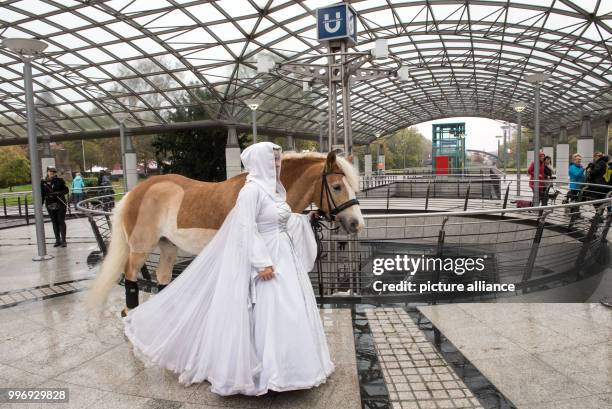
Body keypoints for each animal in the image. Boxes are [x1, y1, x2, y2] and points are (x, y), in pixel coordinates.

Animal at [86, 151, 364, 314]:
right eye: (337, 186)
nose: (357, 224)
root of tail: (135, 192)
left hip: (168, 245)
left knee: (163, 276)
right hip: (141, 246)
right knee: (131, 275)